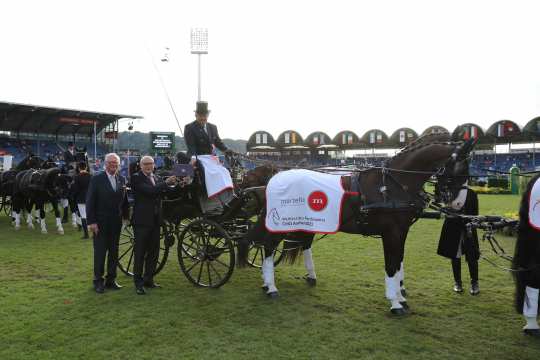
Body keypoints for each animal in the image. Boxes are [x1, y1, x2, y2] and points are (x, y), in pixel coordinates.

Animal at [238, 134, 474, 316]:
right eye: (458, 170)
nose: (459, 203)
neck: (392, 185)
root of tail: (276, 176)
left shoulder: (402, 231)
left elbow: (398, 261)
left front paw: (401, 296)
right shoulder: (391, 232)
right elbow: (391, 264)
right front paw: (395, 302)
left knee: (298, 245)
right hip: (281, 223)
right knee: (268, 247)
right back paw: (270, 286)